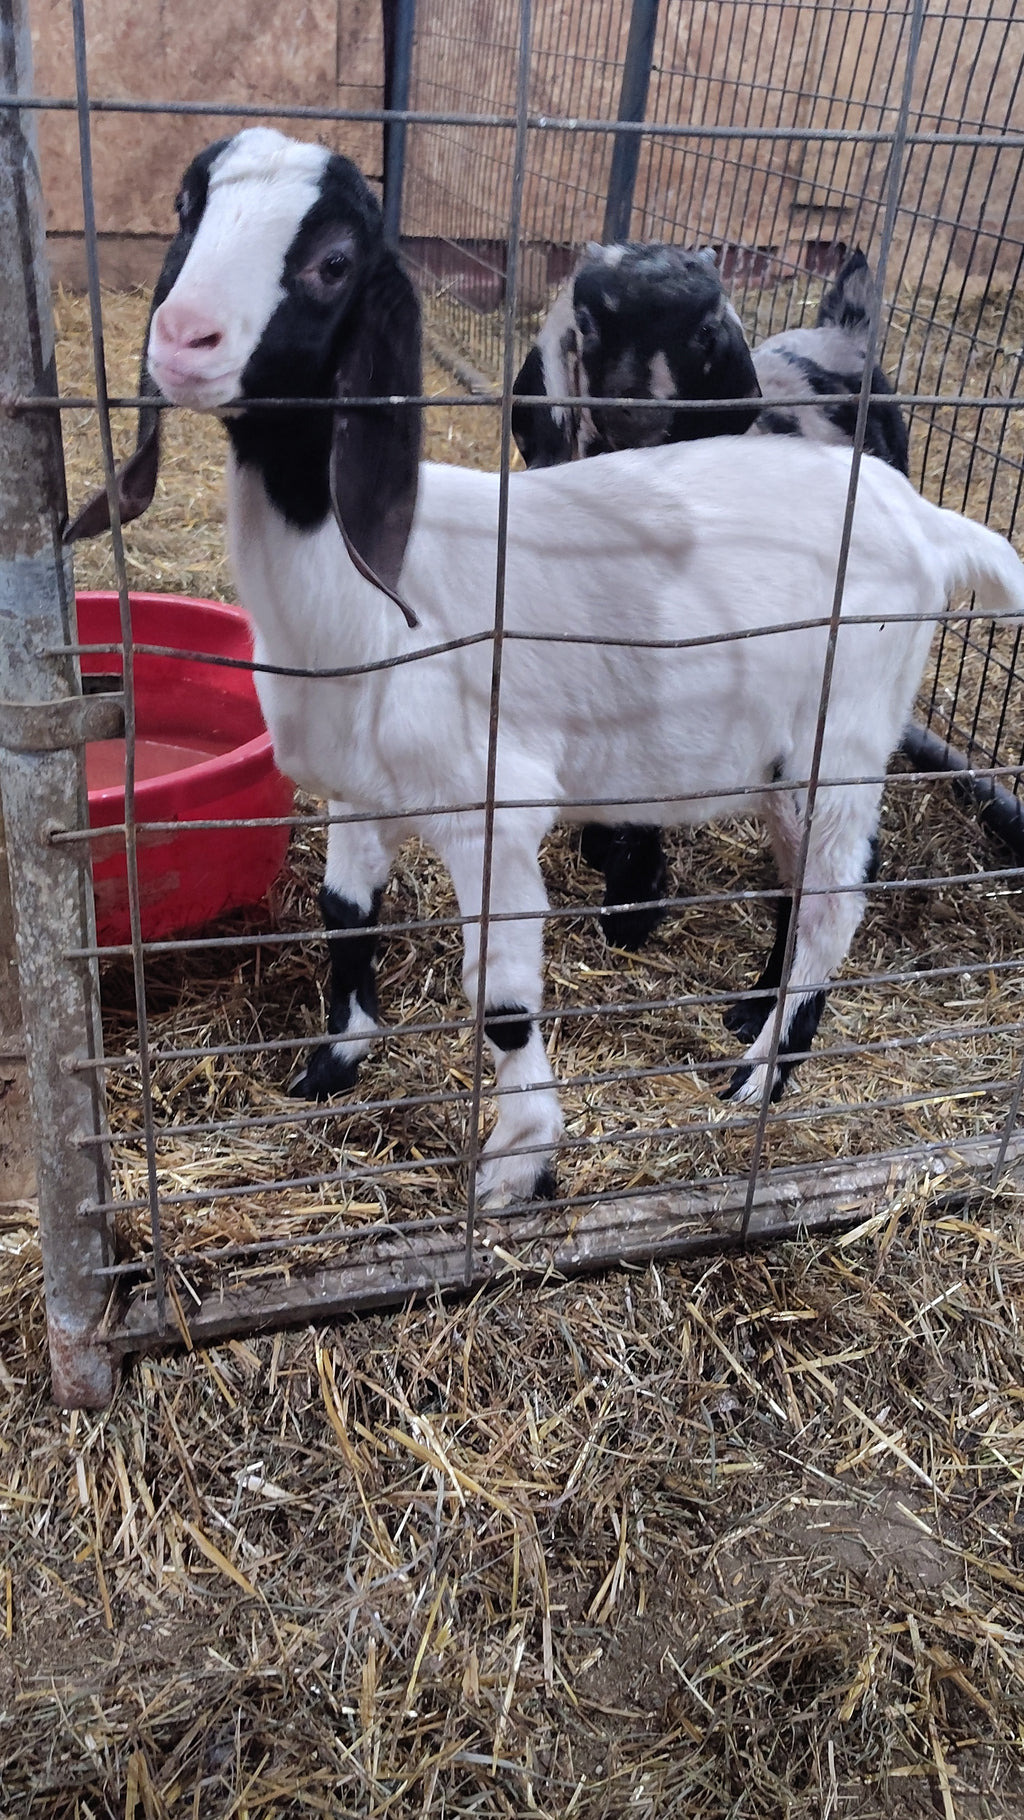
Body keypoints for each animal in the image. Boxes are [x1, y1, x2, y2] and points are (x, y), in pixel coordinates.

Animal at [513, 244, 909, 953]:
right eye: (587, 322)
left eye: (705, 331)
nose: (630, 405)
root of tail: (845, 330)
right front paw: (604, 851)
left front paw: (633, 902)